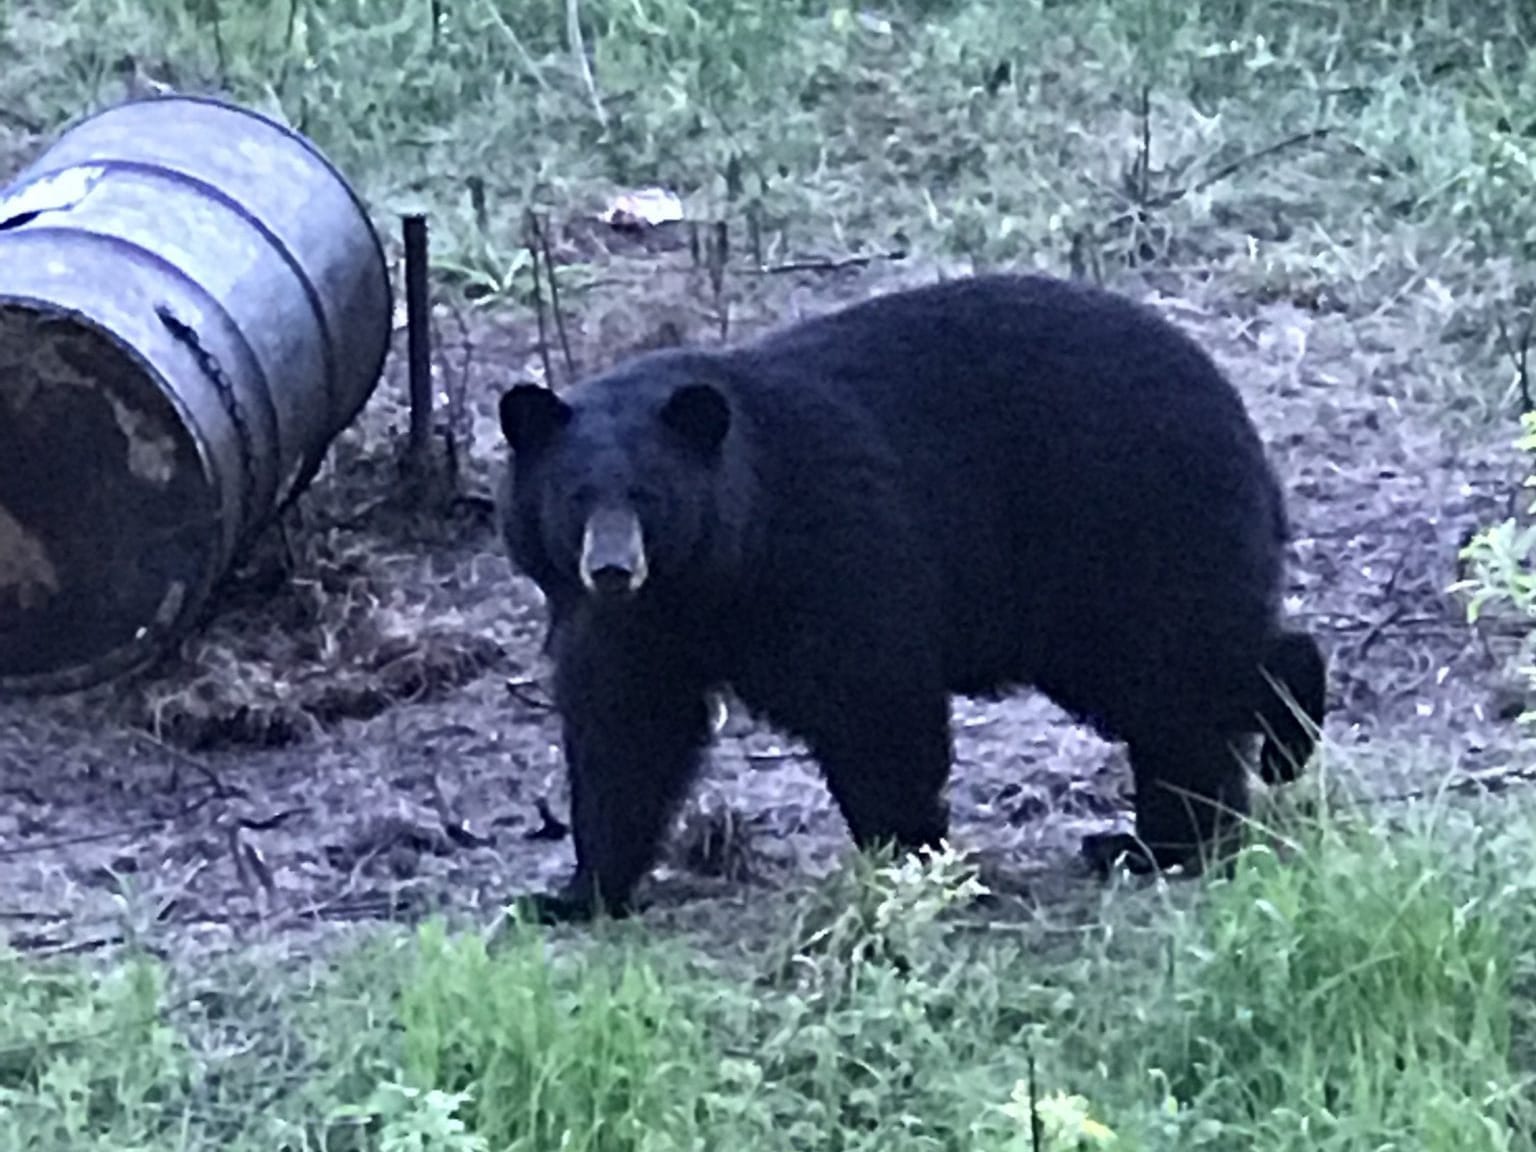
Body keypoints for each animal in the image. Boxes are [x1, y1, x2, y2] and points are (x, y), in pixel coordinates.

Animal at [497, 268, 1327, 921]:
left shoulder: (832, 549)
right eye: (575, 496)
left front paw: (906, 857)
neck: (713, 574)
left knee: (1183, 673)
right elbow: (627, 734)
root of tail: (1235, 411)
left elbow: (875, 702)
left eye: (649, 495)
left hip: (1131, 526)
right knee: (1171, 693)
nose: (611, 569)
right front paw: (572, 894)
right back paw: (1158, 838)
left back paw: (1246, 775)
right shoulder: (633, 628)